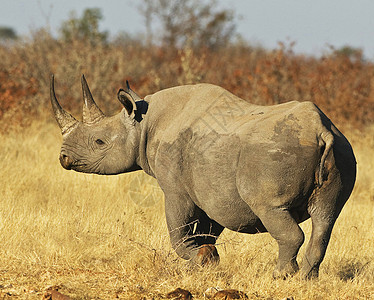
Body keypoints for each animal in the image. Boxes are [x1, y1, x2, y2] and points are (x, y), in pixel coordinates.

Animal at [50, 75, 356, 278]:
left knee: (273, 210)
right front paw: (208, 259)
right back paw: (306, 280)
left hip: (274, 153)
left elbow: (178, 229)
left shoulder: (175, 188)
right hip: (342, 151)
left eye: (99, 142)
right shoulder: (212, 190)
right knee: (327, 216)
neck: (142, 124)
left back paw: (281, 277)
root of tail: (321, 131)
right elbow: (207, 230)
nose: (63, 157)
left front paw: (198, 260)